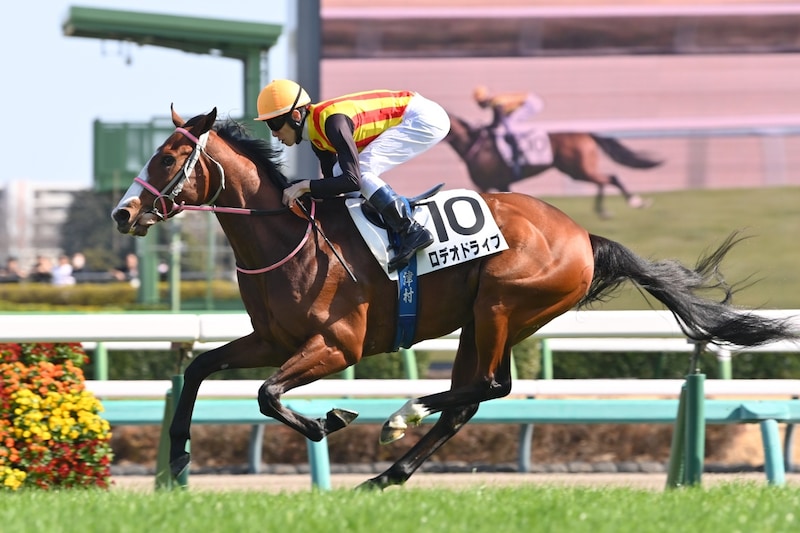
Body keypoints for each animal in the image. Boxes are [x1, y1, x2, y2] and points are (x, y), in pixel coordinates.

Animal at [445, 113, 663, 219]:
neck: (475, 145)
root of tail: (588, 134)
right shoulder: (501, 184)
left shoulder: (487, 184)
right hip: (578, 171)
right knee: (603, 181)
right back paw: (603, 210)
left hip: (578, 169)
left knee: (611, 178)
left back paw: (635, 202)